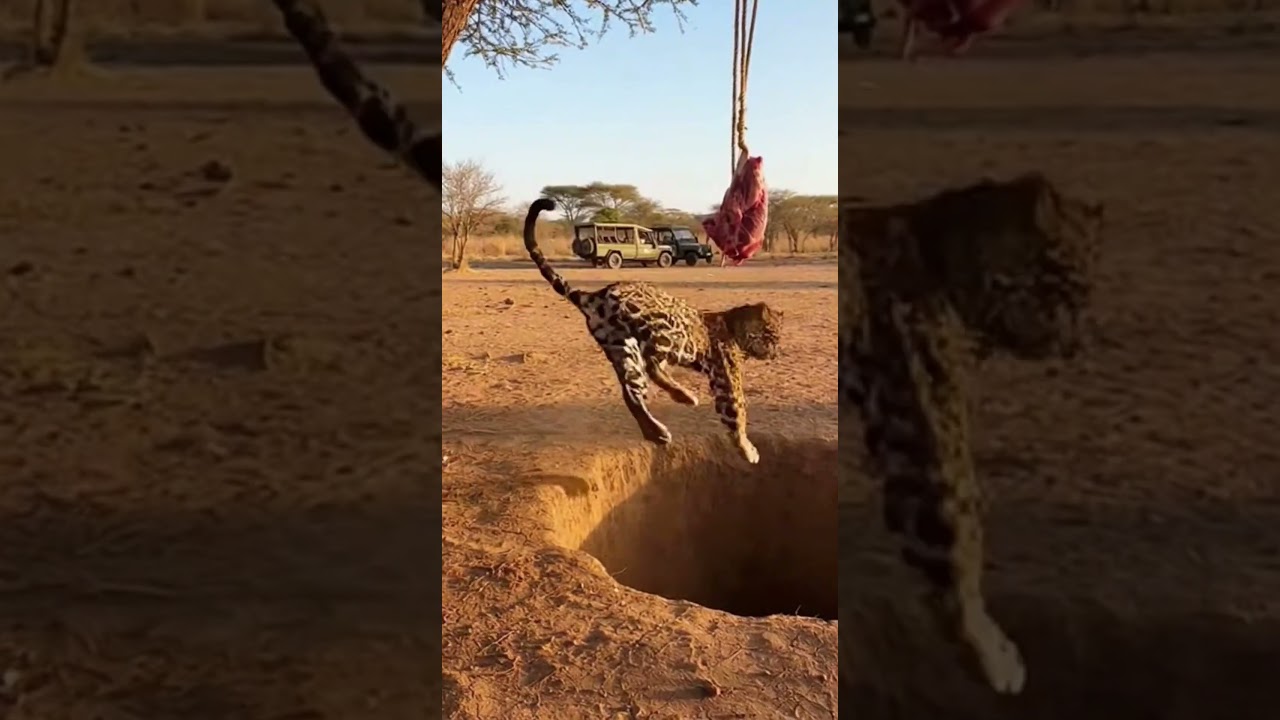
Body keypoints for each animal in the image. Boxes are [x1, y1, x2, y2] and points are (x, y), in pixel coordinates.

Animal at [525, 198, 783, 463]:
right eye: (772, 337)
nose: (775, 354)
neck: (734, 325)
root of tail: (596, 294)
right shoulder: (726, 377)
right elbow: (737, 413)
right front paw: (747, 449)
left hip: (621, 346)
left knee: (632, 390)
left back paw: (663, 422)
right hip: (664, 329)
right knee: (647, 368)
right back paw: (670, 414)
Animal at [840, 172, 1104, 694]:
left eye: (1086, 297)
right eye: (1067, 286)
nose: (1074, 347)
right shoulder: (923, 429)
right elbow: (957, 539)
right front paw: (989, 651)